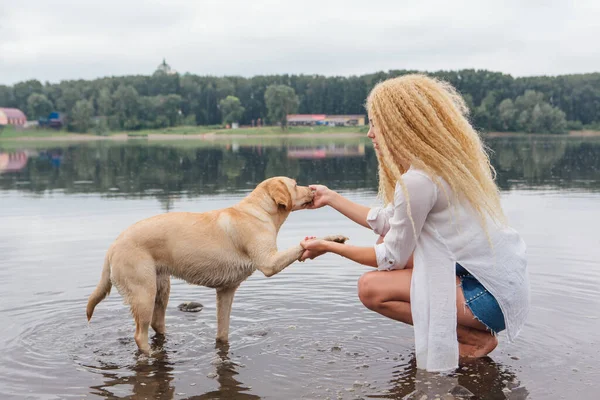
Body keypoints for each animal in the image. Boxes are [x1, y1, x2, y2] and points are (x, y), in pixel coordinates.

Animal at [85, 177, 346, 354]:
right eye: (295, 183)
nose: (314, 188)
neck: (260, 211)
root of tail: (113, 245)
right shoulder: (269, 263)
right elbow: (299, 246)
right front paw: (332, 238)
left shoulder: (226, 291)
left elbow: (222, 333)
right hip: (143, 292)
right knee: (140, 334)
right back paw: (149, 355)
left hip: (161, 288)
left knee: (158, 324)